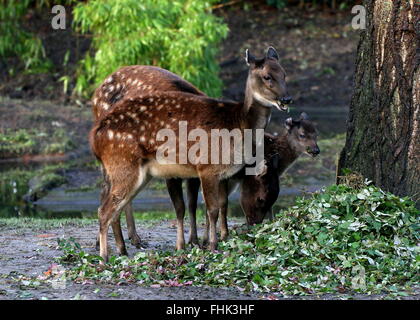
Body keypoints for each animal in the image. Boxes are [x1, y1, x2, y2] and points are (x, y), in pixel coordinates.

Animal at [89, 47, 292, 262]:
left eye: (284, 74)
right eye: (267, 76)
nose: (286, 99)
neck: (237, 123)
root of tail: (94, 137)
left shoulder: (215, 174)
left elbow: (215, 204)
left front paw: (207, 240)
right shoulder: (206, 166)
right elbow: (209, 209)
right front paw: (210, 245)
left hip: (138, 173)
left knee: (115, 205)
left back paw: (125, 247)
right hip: (122, 164)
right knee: (104, 208)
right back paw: (105, 256)